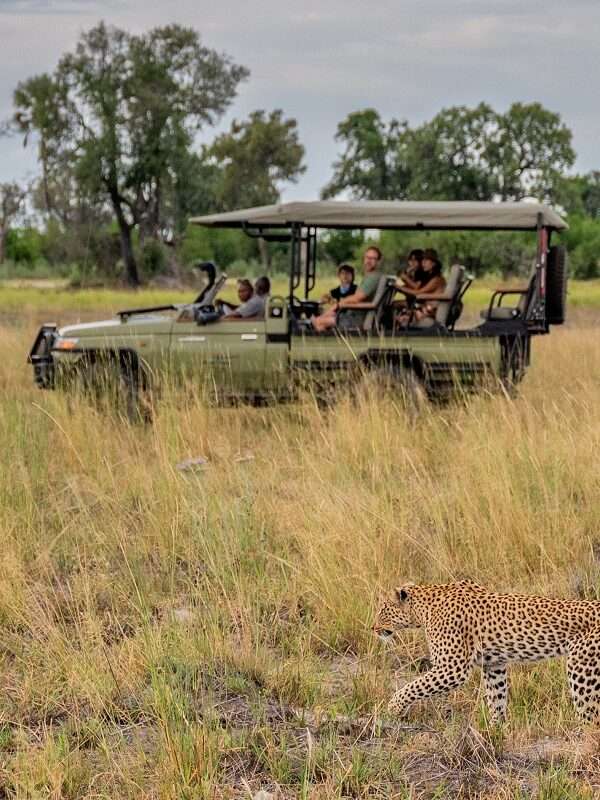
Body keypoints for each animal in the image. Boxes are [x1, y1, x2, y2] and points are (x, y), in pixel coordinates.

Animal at [376, 580, 600, 724]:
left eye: (382, 610)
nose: (373, 628)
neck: (423, 609)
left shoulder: (452, 669)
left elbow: (411, 687)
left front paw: (392, 709)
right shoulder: (493, 665)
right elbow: (496, 698)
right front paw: (495, 729)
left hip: (581, 671)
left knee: (589, 718)